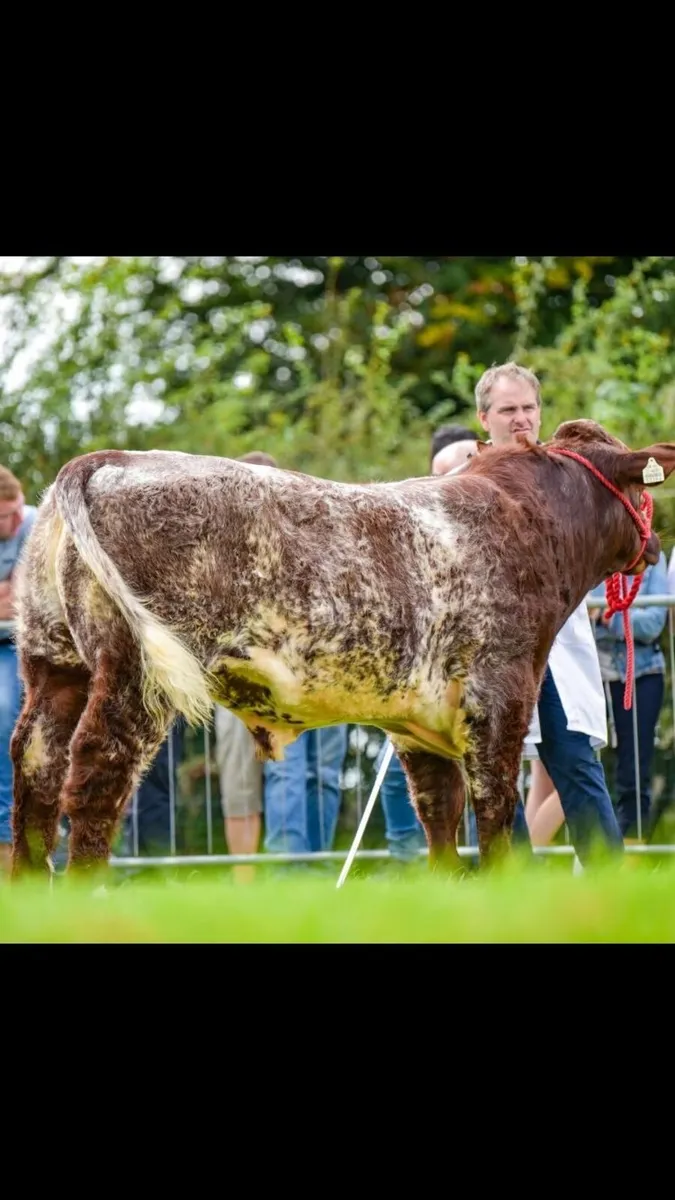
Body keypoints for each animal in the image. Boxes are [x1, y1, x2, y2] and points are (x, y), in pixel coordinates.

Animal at [8, 419, 675, 880]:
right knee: (95, 769)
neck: (530, 522)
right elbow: (493, 804)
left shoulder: (416, 720)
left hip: (53, 660)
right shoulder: (500, 694)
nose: (656, 545)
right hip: (137, 669)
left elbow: (438, 810)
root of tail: (109, 460)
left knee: (35, 764)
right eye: (639, 488)